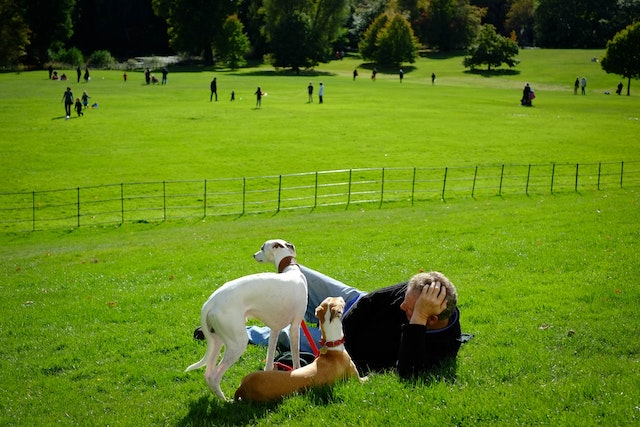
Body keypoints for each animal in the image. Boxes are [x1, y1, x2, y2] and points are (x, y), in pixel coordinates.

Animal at [185, 241, 308, 402]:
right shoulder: (295, 327)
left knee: (208, 374)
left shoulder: (275, 329)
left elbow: (269, 361)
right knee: (214, 376)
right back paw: (227, 401)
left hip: (217, 340)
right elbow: (296, 357)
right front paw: (299, 373)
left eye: (262, 248)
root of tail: (210, 302)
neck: (291, 270)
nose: (254, 255)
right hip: (238, 343)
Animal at [234, 296, 364, 402]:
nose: (342, 297)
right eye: (339, 300)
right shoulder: (356, 378)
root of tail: (241, 389)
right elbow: (365, 378)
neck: (332, 347)